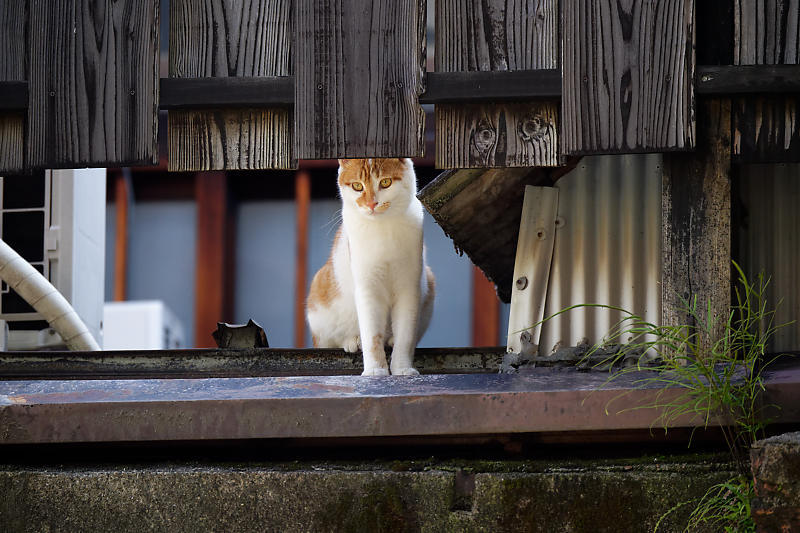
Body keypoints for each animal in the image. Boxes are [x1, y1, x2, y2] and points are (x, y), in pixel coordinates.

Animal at [306, 157, 434, 374]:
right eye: (357, 186)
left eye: (385, 182)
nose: (371, 203)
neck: (383, 229)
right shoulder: (368, 288)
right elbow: (372, 336)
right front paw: (375, 371)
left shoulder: (409, 287)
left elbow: (406, 336)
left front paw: (402, 369)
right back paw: (353, 341)